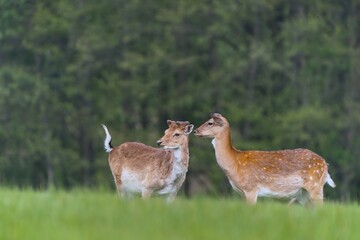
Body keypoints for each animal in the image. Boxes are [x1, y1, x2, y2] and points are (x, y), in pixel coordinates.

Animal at [193, 113, 336, 205]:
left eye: (210, 122)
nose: (195, 131)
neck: (234, 163)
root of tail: (325, 164)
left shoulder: (251, 188)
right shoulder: (242, 193)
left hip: (315, 186)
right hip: (302, 194)